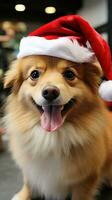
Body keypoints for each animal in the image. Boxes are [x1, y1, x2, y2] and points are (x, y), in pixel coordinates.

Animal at [3, 54, 112, 200]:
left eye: (69, 74)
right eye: (34, 74)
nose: (50, 92)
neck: (51, 137)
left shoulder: (86, 179)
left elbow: (79, 195)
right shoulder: (30, 167)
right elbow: (28, 182)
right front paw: (22, 196)